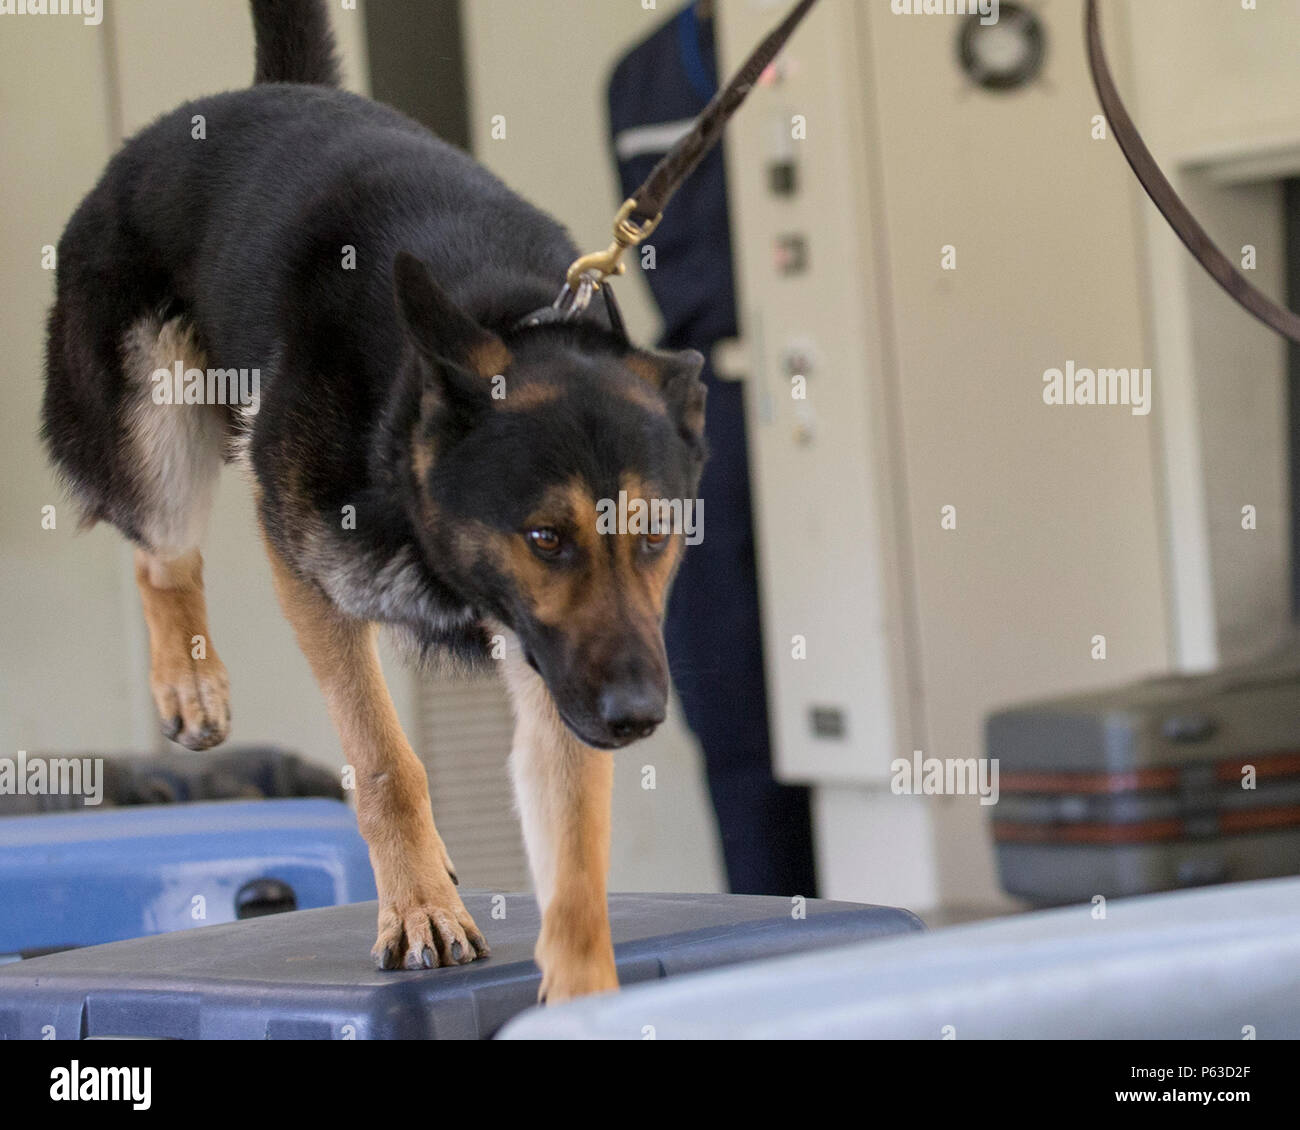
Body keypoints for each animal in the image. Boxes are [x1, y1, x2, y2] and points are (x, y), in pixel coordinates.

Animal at [43, 2, 702, 1003]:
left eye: (656, 536)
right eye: (545, 537)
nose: (634, 717)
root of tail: (269, 91)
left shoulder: (557, 669)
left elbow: (575, 835)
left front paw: (583, 987)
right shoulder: (311, 569)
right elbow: (386, 761)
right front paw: (420, 906)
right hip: (153, 418)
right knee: (163, 552)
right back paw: (190, 681)